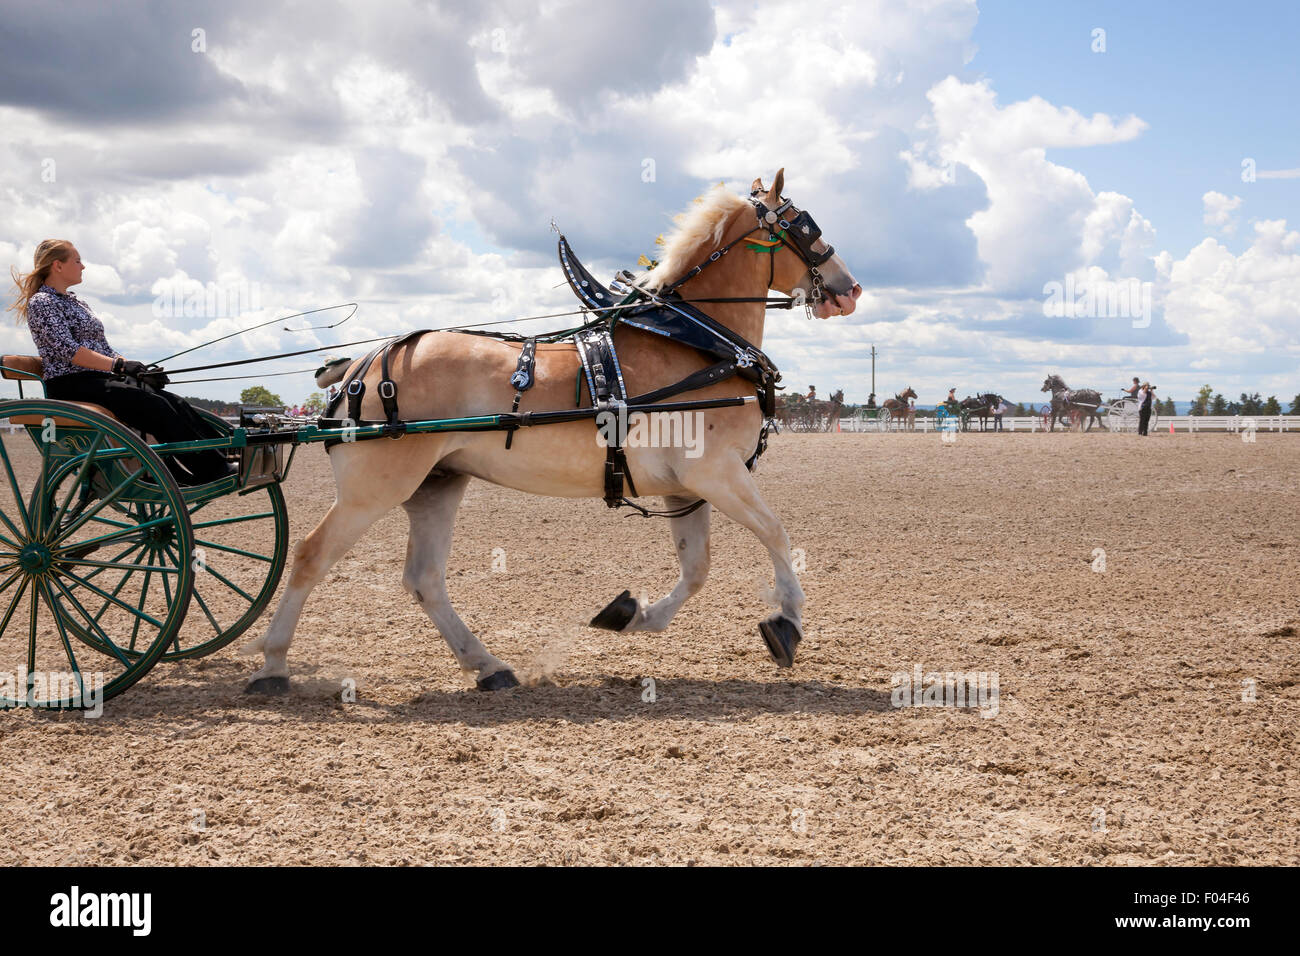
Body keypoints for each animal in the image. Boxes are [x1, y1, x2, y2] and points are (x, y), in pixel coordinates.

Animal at [244, 169, 862, 693]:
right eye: (805, 225)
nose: (850, 288)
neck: (697, 344)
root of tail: (362, 363)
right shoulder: (716, 472)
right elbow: (776, 533)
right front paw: (787, 622)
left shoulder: (686, 486)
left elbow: (697, 569)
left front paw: (632, 615)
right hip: (374, 489)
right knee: (311, 556)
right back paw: (273, 665)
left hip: (436, 484)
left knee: (424, 579)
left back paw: (488, 665)